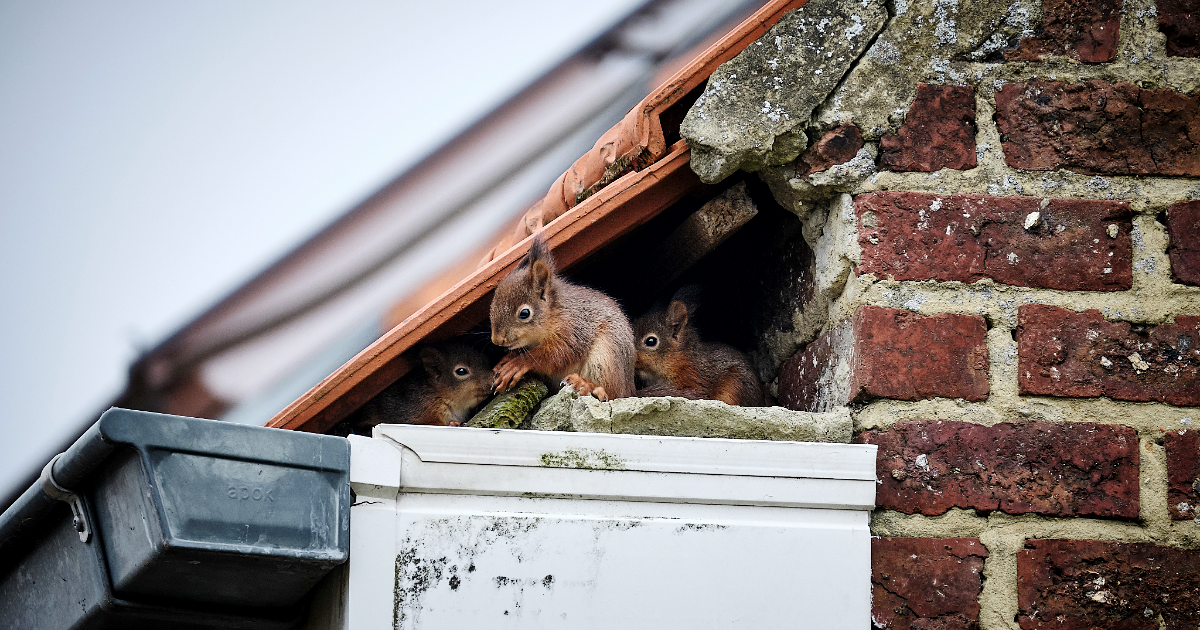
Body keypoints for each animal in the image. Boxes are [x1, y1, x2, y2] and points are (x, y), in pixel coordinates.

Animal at [335, 339, 493, 435]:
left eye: (486, 358)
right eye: (461, 371)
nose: (492, 379)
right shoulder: (412, 409)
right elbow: (422, 423)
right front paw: (452, 424)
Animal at [490, 233, 635, 401]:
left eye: (524, 313)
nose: (496, 340)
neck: (554, 313)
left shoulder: (574, 326)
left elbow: (557, 353)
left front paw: (516, 364)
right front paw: (505, 361)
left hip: (607, 356)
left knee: (612, 394)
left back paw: (586, 385)